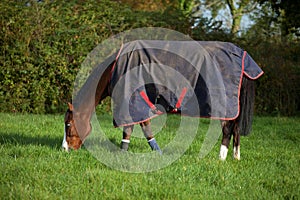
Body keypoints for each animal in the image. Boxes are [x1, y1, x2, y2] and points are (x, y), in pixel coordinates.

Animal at [61, 40, 262, 161]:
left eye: (68, 125)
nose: (64, 149)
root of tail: (243, 56)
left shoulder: (130, 100)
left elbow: (131, 128)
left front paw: (122, 153)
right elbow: (144, 128)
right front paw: (158, 152)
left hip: (223, 105)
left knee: (227, 130)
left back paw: (221, 157)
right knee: (236, 129)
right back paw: (236, 157)